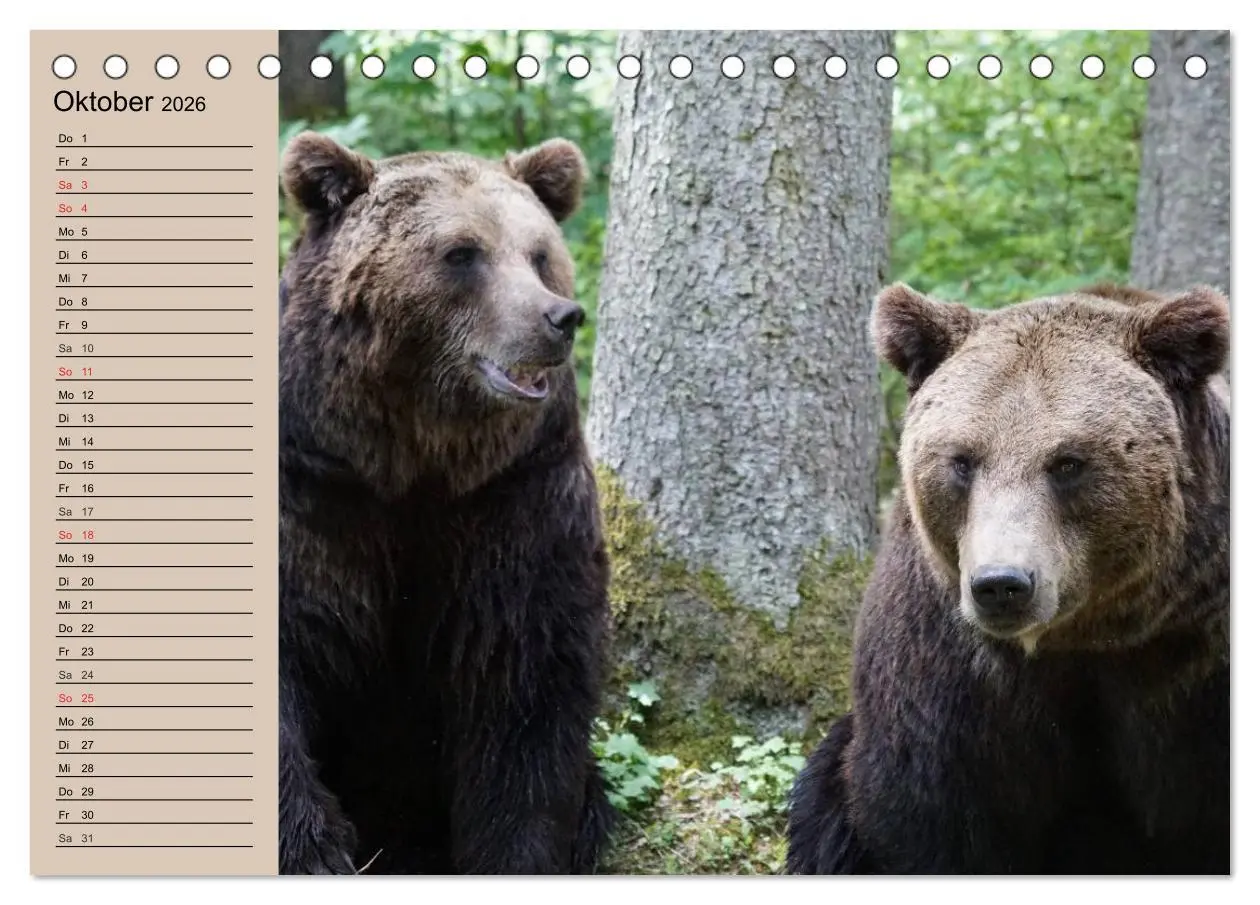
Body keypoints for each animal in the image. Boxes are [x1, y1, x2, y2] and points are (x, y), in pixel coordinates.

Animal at [276, 131, 615, 874]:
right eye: (462, 252)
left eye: (539, 253)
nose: (559, 317)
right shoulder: (313, 492)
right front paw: (318, 851)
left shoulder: (514, 496)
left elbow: (524, 675)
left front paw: (516, 853)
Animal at [787, 281, 1230, 875]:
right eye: (962, 460)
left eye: (1068, 462)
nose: (1001, 584)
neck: (1084, 639)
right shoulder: (951, 664)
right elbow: (930, 811)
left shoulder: (1192, 656)